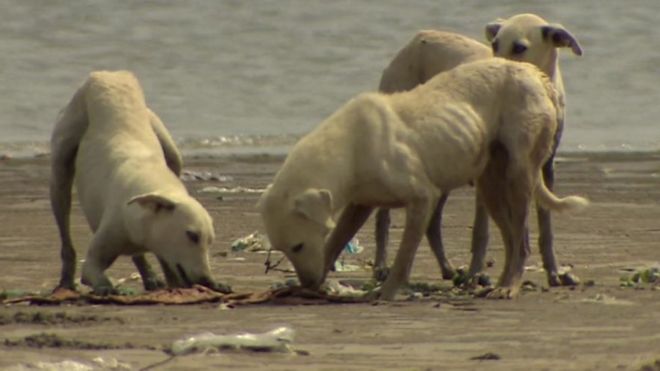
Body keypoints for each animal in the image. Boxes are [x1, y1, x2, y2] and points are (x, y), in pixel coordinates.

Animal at [47, 71, 227, 294]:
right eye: (192, 235)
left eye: (210, 241)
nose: (206, 281)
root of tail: (110, 75)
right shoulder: (95, 258)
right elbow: (92, 273)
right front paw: (106, 288)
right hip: (61, 165)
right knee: (65, 232)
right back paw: (66, 281)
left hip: (168, 146)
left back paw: (150, 277)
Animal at [260, 58, 588, 302]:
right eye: (283, 249)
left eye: (298, 246)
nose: (308, 282)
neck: (349, 148)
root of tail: (534, 74)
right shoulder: (359, 204)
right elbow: (334, 242)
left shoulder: (422, 197)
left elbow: (404, 256)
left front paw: (386, 291)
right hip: (490, 183)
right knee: (511, 238)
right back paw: (500, 283)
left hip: (519, 173)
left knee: (522, 240)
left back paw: (510, 286)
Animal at [372, 12, 584, 288]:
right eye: (494, 44)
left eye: (519, 48)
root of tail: (417, 39)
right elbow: (481, 232)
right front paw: (475, 273)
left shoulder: (544, 169)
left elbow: (545, 228)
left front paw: (554, 272)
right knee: (383, 215)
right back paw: (381, 266)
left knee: (433, 222)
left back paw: (448, 269)